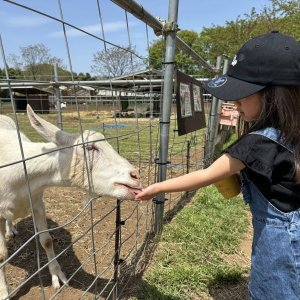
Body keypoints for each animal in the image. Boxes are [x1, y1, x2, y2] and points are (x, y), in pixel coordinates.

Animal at [0, 105, 141, 298]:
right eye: (90, 147)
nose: (135, 175)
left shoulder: (37, 202)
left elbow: (46, 240)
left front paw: (57, 276)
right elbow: (1, 255)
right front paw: (4, 293)